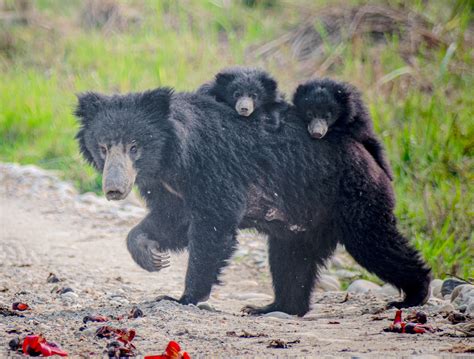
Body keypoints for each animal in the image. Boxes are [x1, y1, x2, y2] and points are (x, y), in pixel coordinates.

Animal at [75, 88, 434, 316]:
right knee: (290, 261)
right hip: (304, 219)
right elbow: (171, 220)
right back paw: (272, 307)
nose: (114, 189)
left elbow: (214, 226)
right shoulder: (169, 189)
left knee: (374, 243)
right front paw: (151, 255)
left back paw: (413, 295)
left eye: (135, 147)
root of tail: (368, 152)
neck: (169, 162)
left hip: (351, 197)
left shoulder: (214, 169)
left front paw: (183, 297)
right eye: (103, 147)